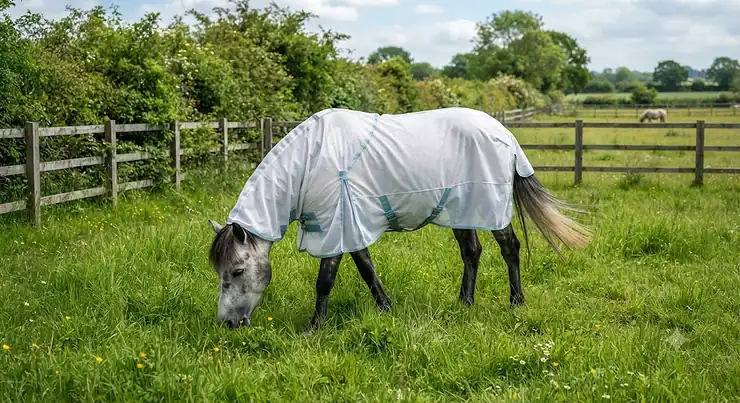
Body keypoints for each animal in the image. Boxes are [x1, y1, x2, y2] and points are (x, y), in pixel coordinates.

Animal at [207, 107, 593, 334]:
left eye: (237, 271)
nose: (227, 323)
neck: (313, 158)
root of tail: (504, 133)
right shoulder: (351, 226)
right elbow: (367, 268)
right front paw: (385, 307)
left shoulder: (337, 225)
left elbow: (325, 280)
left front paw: (314, 328)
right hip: (461, 211)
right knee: (471, 252)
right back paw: (464, 303)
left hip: (490, 209)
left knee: (509, 248)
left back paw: (516, 302)